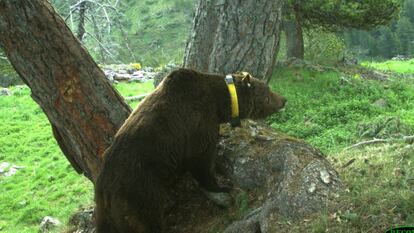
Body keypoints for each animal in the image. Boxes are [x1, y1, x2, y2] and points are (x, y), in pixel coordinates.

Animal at [95, 68, 286, 232]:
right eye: (268, 90)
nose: (284, 99)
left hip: (108, 212)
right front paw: (222, 186)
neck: (220, 102)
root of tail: (103, 189)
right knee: (147, 220)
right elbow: (201, 160)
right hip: (139, 192)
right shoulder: (197, 124)